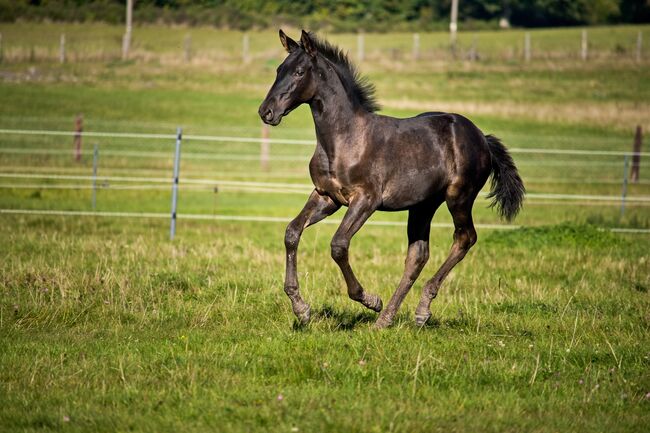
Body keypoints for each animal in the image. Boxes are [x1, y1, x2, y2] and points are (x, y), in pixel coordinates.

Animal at [258, 31, 520, 328]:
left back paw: (419, 309)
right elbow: (292, 233)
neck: (344, 140)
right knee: (417, 255)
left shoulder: (366, 200)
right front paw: (301, 308)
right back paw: (388, 319)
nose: (266, 112)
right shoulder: (326, 196)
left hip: (459, 197)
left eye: (299, 72)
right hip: (423, 205)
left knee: (465, 238)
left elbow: (338, 245)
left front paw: (369, 299)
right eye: (279, 70)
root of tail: (482, 138)